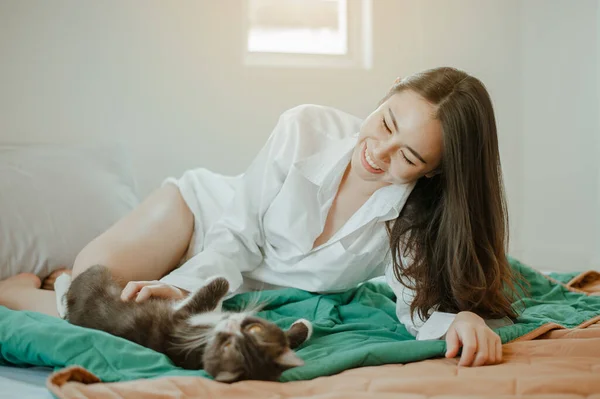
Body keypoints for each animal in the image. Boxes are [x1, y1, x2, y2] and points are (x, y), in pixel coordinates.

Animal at [58, 266, 312, 384]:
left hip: (96, 275)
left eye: (229, 348)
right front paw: (304, 327)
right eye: (255, 330)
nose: (233, 322)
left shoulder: (179, 321)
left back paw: (62, 281)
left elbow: (215, 287)